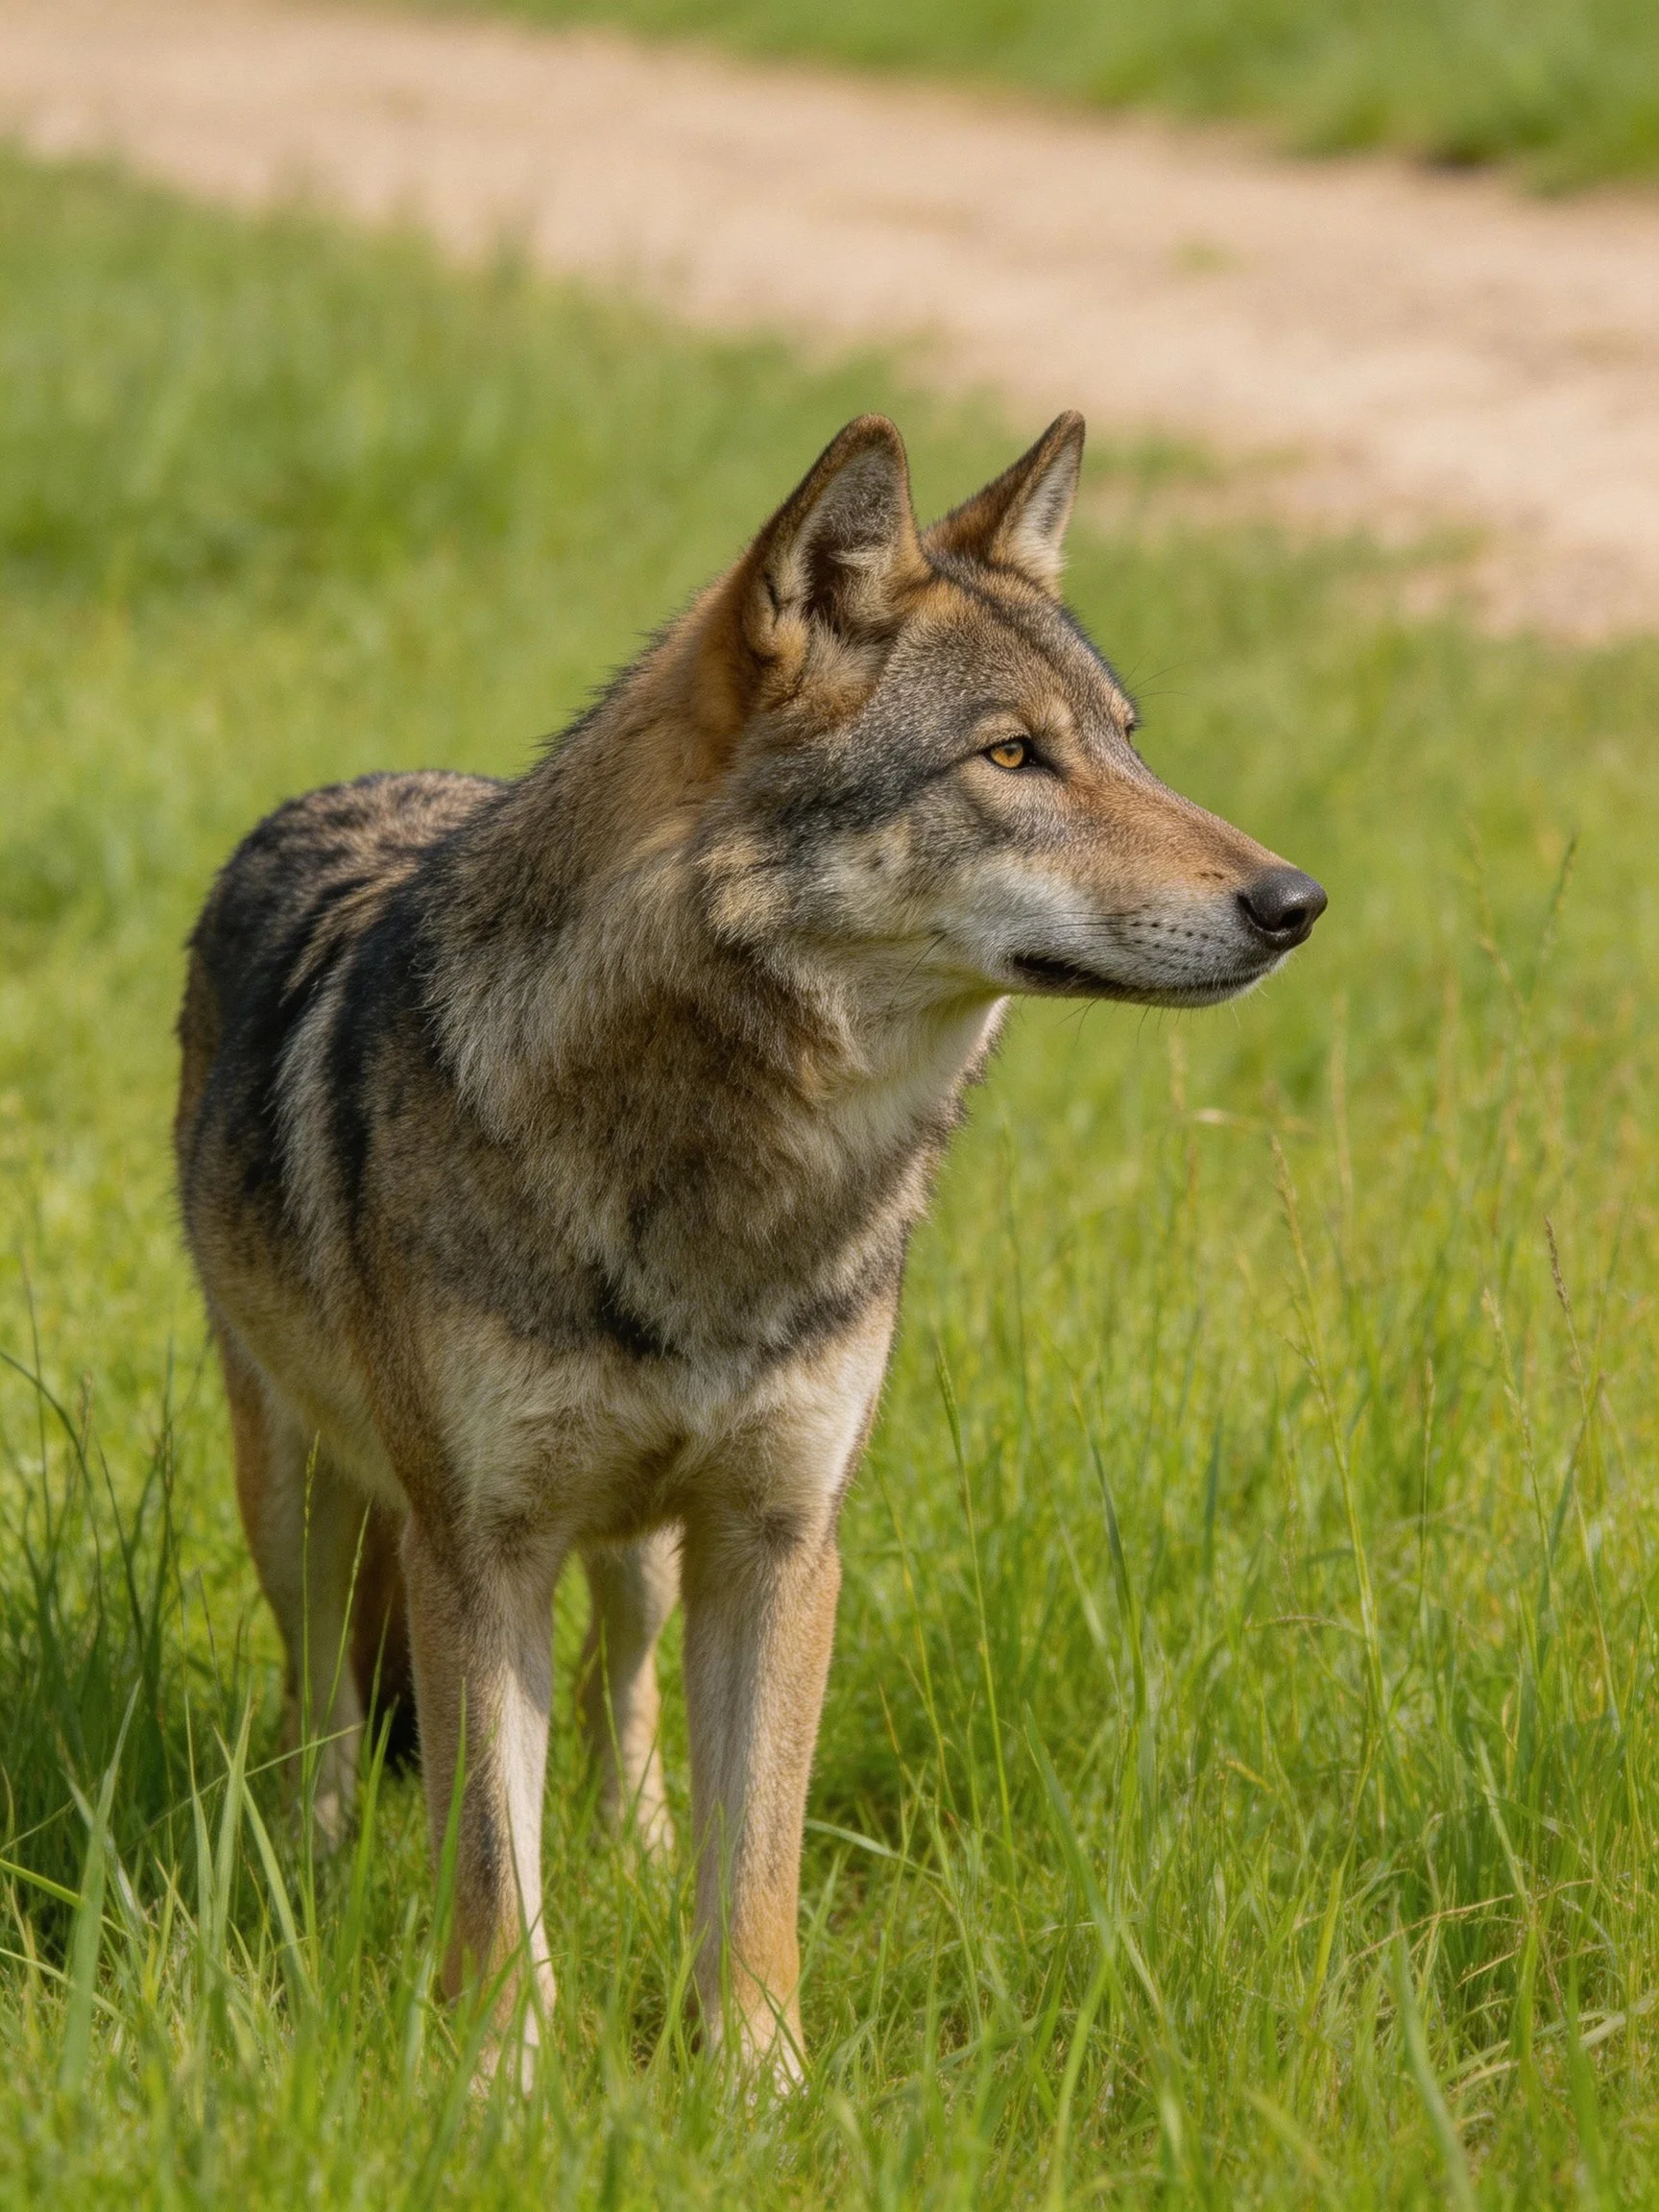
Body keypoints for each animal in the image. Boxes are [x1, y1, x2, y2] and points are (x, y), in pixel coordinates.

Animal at [174, 411, 1325, 2081]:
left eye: (1125, 740)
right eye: (1011, 756)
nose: (1297, 901)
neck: (722, 1183)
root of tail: (359, 783)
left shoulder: (783, 1543)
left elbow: (757, 1870)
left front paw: (759, 2085)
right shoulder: (479, 1550)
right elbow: (490, 1867)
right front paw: (499, 2085)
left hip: (647, 1554)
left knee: (626, 1700)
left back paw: (633, 1847)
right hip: (298, 1492)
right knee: (320, 1697)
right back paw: (315, 1867)